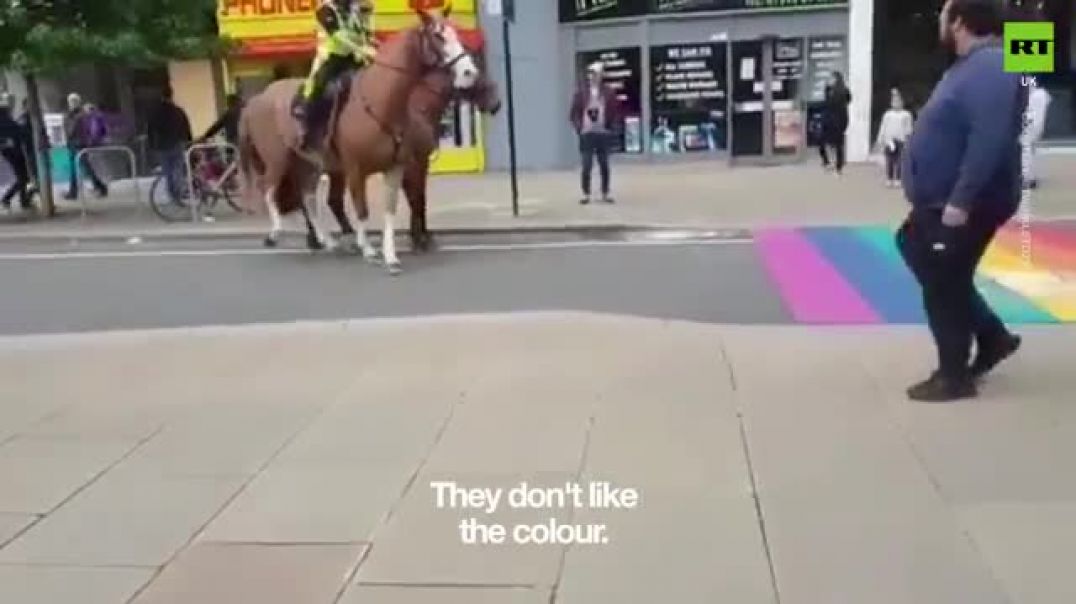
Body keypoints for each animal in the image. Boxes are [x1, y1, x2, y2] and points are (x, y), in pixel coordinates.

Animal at [244, 8, 484, 273]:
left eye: (456, 33)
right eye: (438, 36)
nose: (469, 72)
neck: (381, 102)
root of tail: (257, 99)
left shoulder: (395, 167)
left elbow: (391, 209)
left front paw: (390, 256)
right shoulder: (357, 170)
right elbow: (363, 209)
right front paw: (369, 248)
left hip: (308, 163)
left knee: (307, 197)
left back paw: (327, 240)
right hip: (278, 158)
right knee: (268, 187)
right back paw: (276, 233)